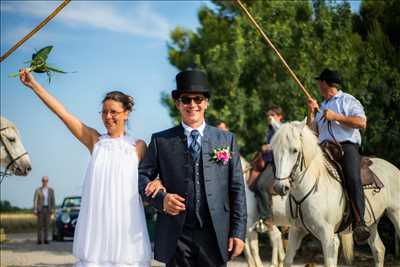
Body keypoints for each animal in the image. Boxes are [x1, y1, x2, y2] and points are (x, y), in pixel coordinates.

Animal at [272, 122, 400, 267]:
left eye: (294, 150)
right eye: (274, 150)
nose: (280, 187)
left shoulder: (328, 237)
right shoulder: (296, 230)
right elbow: (287, 260)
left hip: (396, 214)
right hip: (371, 224)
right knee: (379, 250)